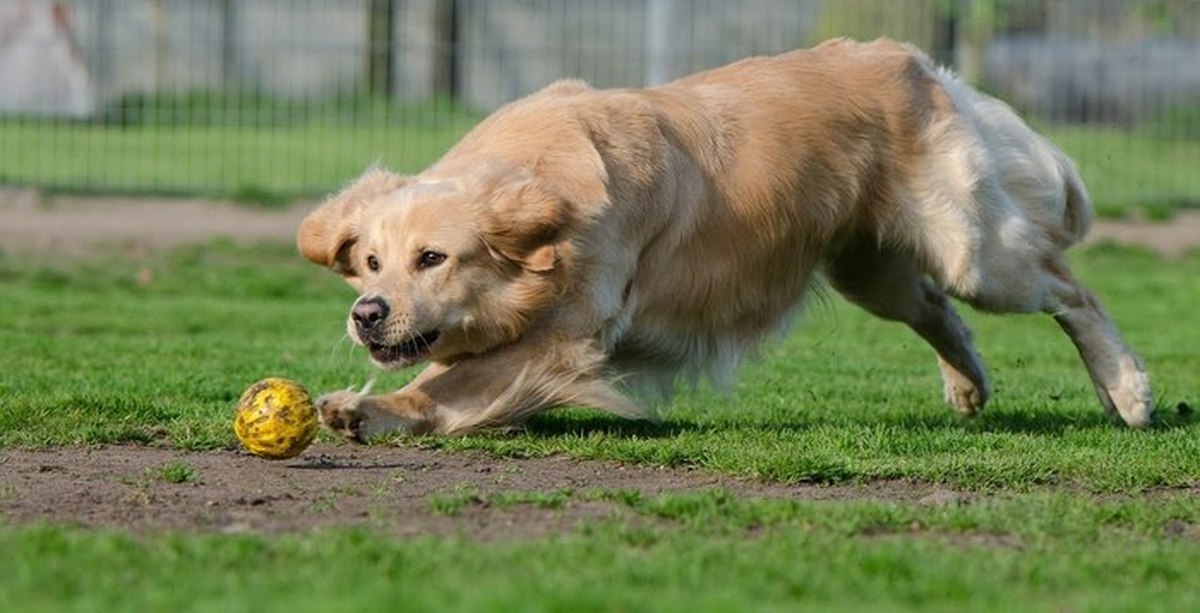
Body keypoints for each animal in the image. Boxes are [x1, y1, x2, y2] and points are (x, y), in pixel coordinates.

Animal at [295, 38, 1147, 439]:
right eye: (370, 262)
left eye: (433, 258)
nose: (367, 313)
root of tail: (914, 60)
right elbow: (447, 380)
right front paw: (363, 409)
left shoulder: (563, 339)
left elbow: (448, 382)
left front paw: (370, 408)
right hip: (871, 269)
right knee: (940, 309)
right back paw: (968, 386)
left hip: (974, 250)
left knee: (1069, 288)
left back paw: (1129, 388)